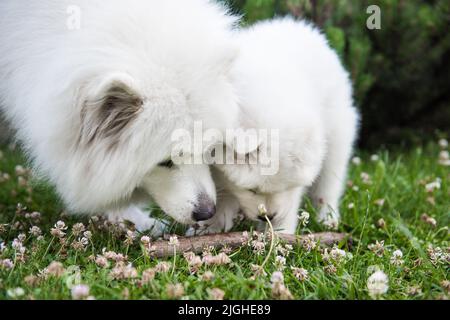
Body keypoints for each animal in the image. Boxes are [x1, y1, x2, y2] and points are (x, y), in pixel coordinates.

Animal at [190, 18, 358, 236]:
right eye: (252, 190)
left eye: (286, 187)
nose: (267, 216)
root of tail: (303, 28)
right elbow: (222, 187)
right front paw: (211, 224)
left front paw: (280, 234)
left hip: (337, 134)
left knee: (328, 184)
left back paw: (328, 219)